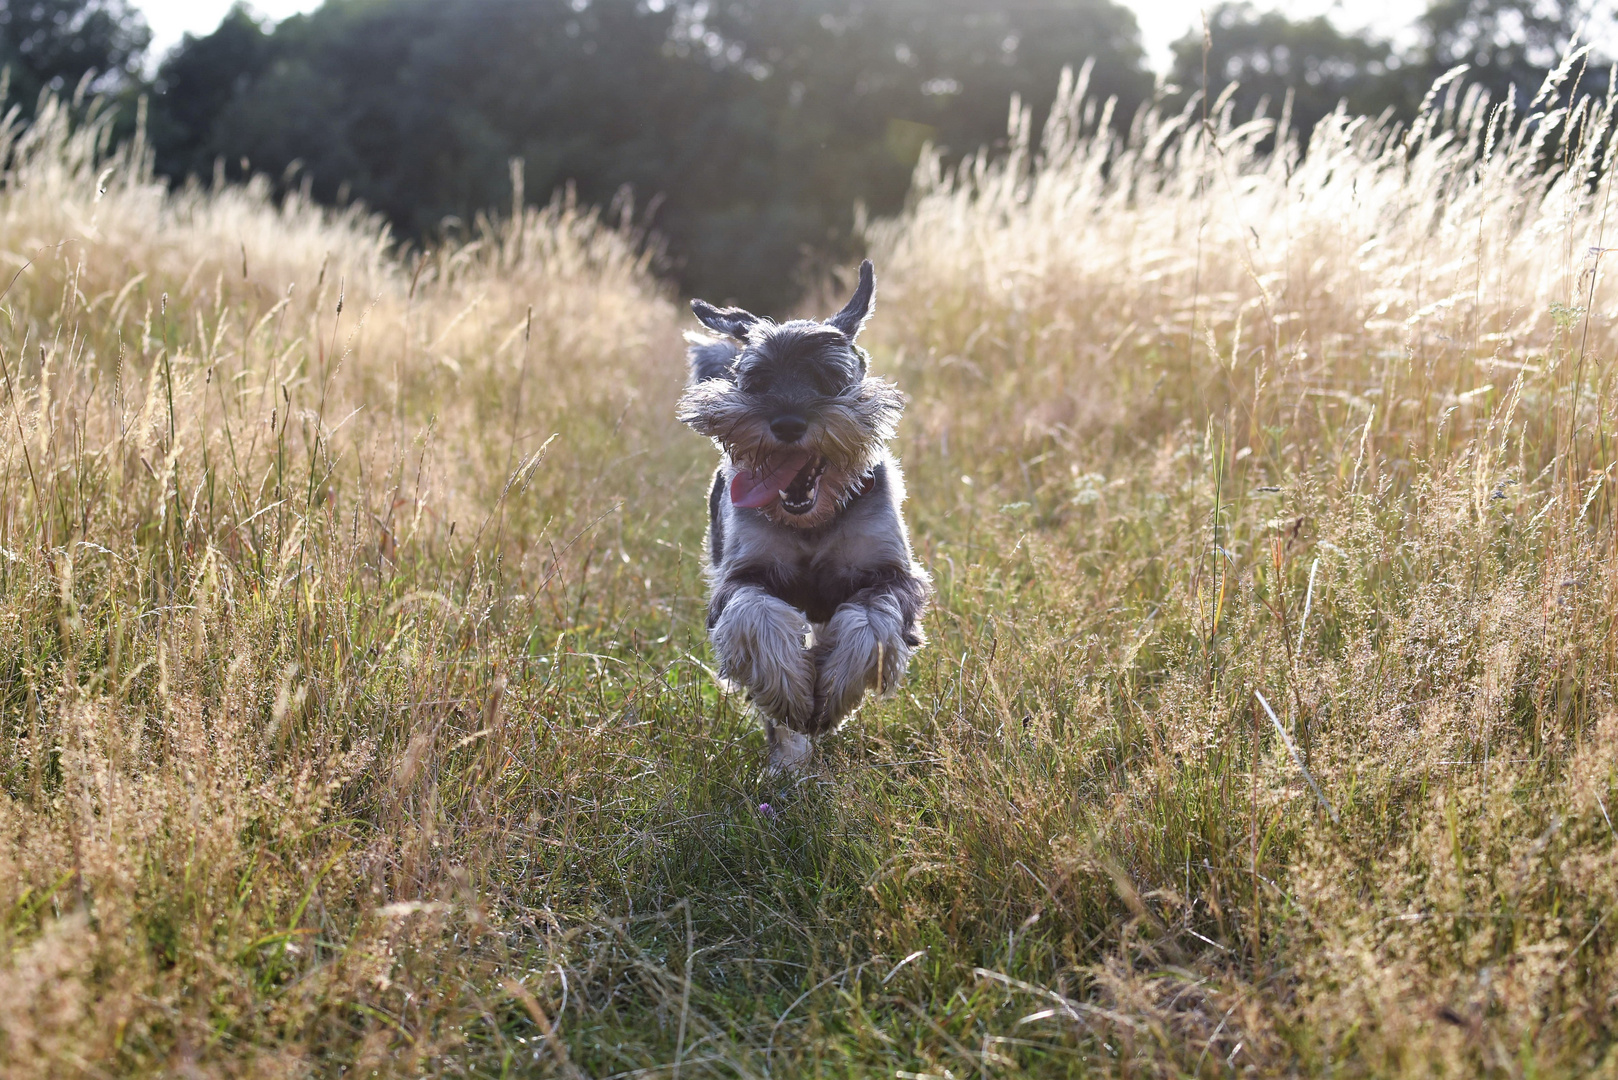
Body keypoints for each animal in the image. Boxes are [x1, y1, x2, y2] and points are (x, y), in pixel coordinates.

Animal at [676, 259, 931, 767]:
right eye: (756, 381)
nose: (788, 423)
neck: (813, 520)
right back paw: (790, 762)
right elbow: (757, 617)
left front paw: (833, 694)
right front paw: (792, 698)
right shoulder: (744, 577)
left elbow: (869, 625)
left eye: (829, 377)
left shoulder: (890, 576)